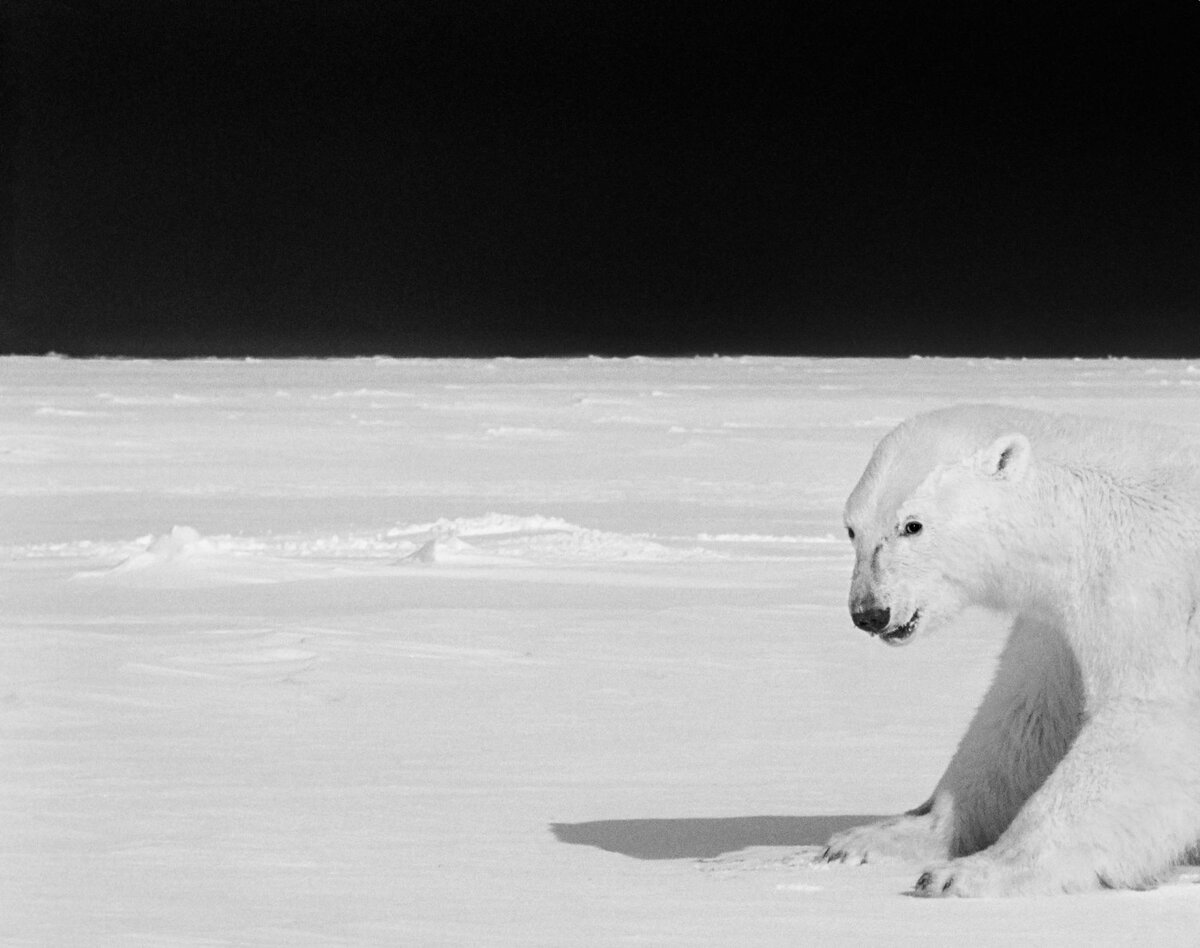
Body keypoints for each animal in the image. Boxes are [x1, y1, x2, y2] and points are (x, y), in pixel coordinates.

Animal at [820, 405, 1200, 897]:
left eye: (912, 525)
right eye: (852, 529)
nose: (869, 612)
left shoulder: (1153, 591)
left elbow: (1155, 720)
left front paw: (969, 872)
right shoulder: (1057, 625)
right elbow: (1027, 716)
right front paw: (874, 840)